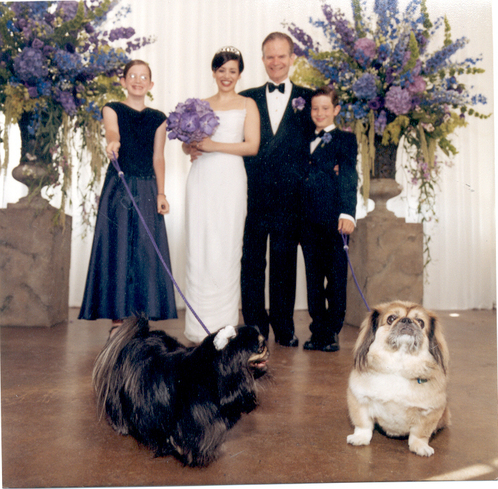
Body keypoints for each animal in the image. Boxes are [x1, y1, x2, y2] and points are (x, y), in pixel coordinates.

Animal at [346, 301, 450, 457]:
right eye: (391, 318)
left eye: (420, 322)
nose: (406, 320)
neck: (398, 366)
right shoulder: (359, 399)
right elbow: (363, 424)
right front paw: (360, 438)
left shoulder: (430, 412)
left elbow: (419, 434)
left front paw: (420, 446)